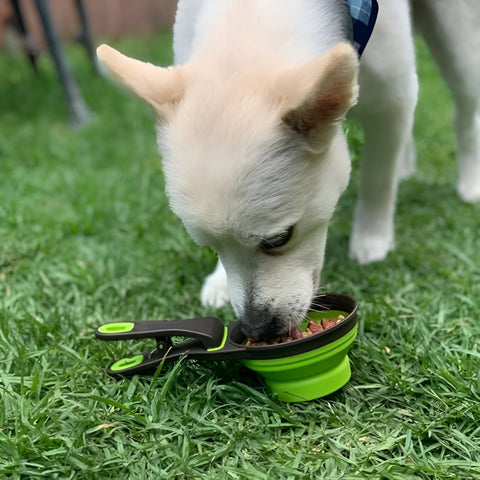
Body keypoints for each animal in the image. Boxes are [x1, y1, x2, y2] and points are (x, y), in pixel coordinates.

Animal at [95, 0, 478, 340]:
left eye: (279, 239)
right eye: (209, 246)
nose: (256, 329)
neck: (250, 13)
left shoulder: (394, 96)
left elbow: (377, 179)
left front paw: (372, 238)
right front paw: (219, 279)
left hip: (456, 38)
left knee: (464, 111)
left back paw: (469, 181)